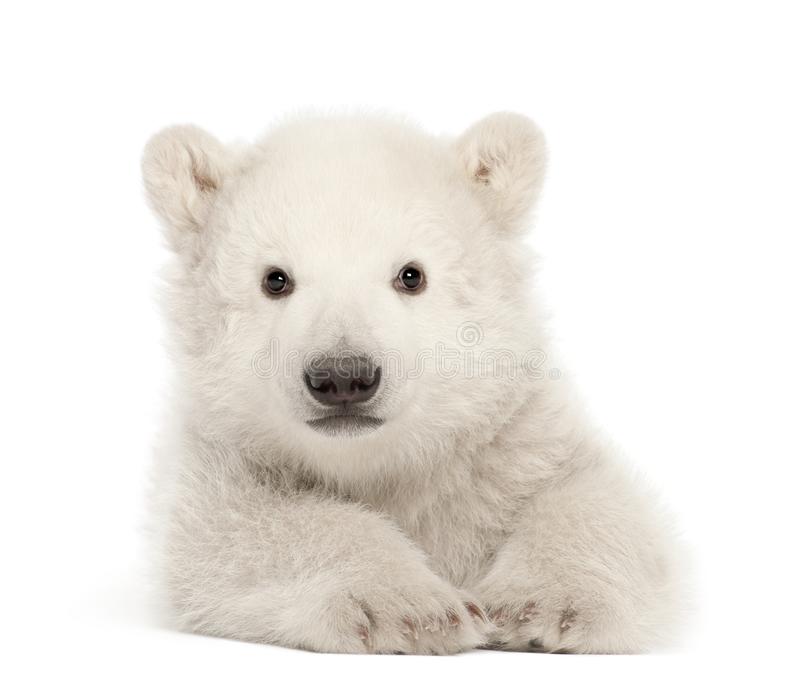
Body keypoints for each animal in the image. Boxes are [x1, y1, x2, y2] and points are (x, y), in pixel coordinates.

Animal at [142, 112, 683, 654]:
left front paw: (538, 608)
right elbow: (230, 530)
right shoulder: (225, 452)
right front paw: (414, 608)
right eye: (275, 279)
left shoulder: (506, 442)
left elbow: (595, 497)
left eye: (411, 275)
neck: (381, 463)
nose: (343, 376)